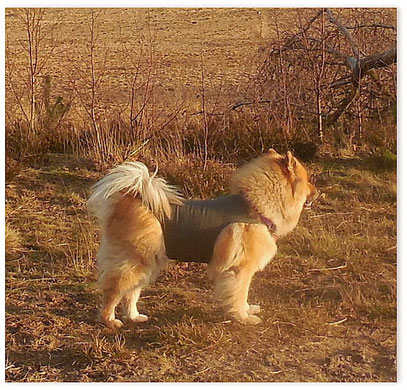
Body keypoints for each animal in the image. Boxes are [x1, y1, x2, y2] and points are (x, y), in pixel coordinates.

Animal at [88, 149, 318, 326]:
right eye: (307, 181)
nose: (316, 191)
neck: (255, 207)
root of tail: (133, 199)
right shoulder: (239, 270)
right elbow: (238, 293)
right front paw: (242, 318)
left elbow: (242, 295)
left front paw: (247, 310)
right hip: (134, 262)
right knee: (114, 290)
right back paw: (109, 320)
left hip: (148, 264)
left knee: (131, 293)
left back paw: (134, 316)